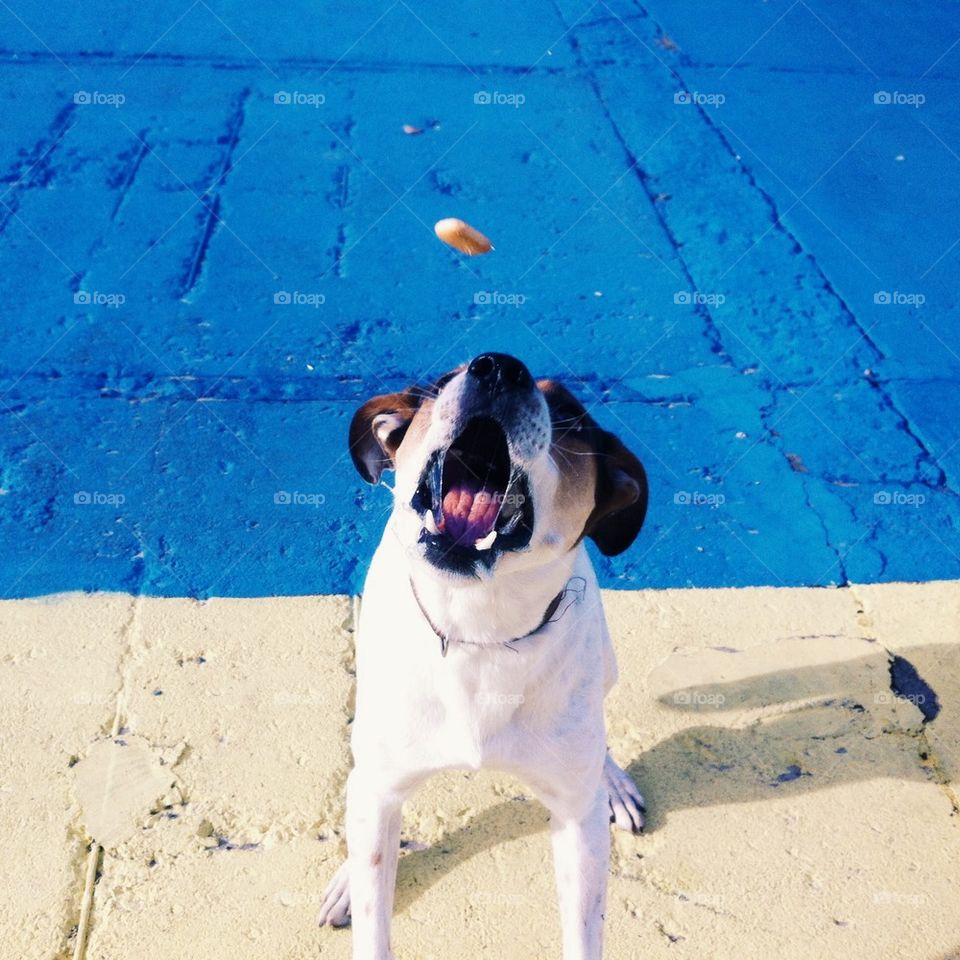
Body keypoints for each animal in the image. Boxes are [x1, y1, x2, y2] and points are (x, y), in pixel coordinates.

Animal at [320, 352, 644, 960]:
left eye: (571, 414)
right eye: (442, 382)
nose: (498, 367)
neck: (477, 631)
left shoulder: (575, 823)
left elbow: (584, 928)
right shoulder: (379, 786)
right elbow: (375, 916)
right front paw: (359, 884)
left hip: (609, 667)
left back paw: (610, 781)